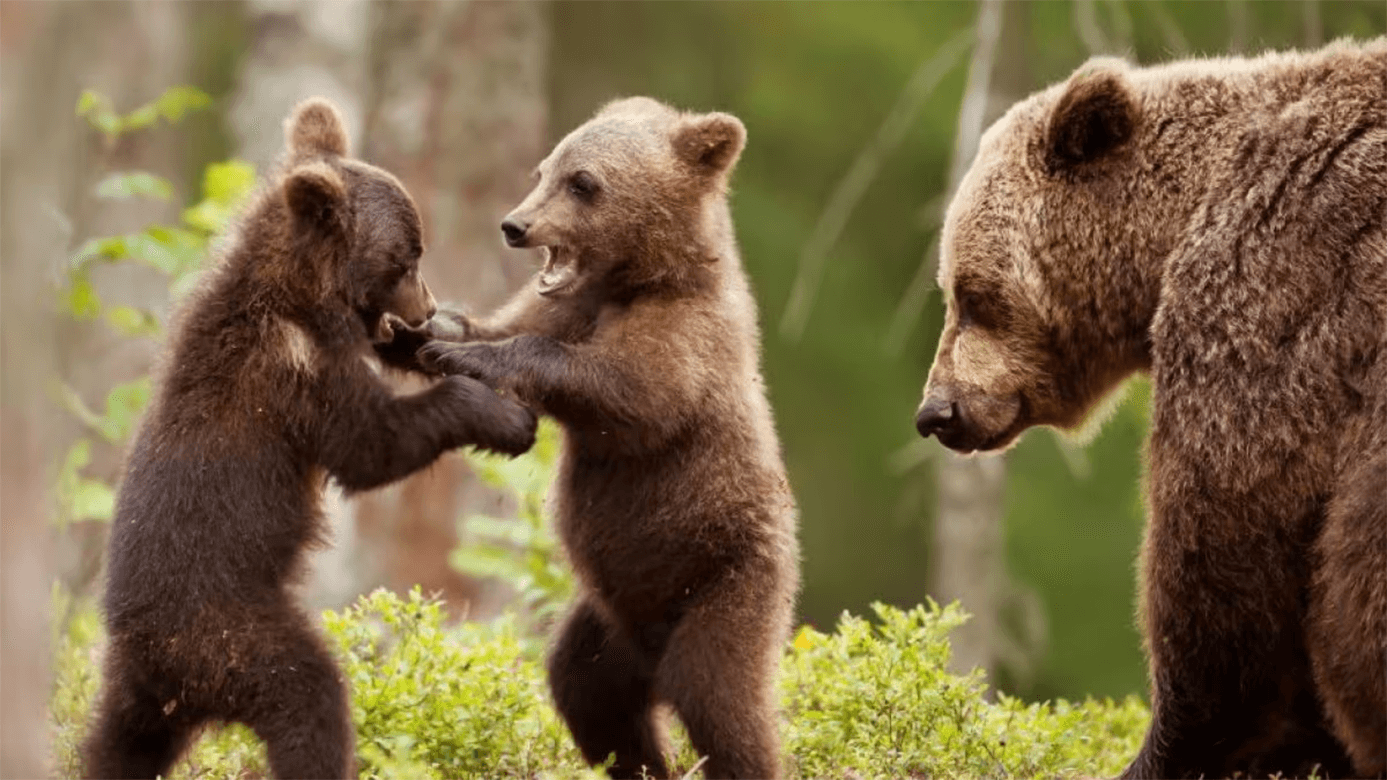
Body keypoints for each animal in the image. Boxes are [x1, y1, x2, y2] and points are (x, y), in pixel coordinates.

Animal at [83, 98, 537, 780]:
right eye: (407, 257)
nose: (428, 306)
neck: (302, 298)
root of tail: (160, 664)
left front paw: (451, 345)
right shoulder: (294, 376)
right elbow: (371, 445)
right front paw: (507, 419)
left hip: (137, 694)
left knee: (114, 746)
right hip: (233, 636)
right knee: (310, 696)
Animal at [411, 96, 800, 779]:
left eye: (584, 182)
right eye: (543, 170)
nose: (514, 225)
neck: (636, 279)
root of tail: (651, 657)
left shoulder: (687, 338)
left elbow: (629, 394)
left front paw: (477, 358)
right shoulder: (565, 305)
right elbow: (501, 324)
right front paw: (435, 329)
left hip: (728, 582)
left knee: (721, 699)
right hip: (608, 622)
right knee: (587, 692)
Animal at [913, 40, 1386, 779]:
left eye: (971, 294)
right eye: (952, 289)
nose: (936, 412)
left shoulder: (1272, 297)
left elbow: (1225, 555)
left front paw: (1168, 748)